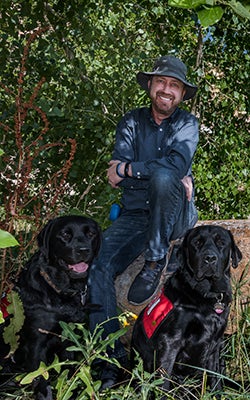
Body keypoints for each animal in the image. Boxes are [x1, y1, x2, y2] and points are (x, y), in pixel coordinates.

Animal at [0, 216, 101, 400]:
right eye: (65, 234)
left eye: (91, 233)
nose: (83, 250)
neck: (60, 289)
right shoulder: (36, 344)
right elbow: (41, 381)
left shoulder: (69, 339)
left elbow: (68, 371)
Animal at [131, 227, 242, 398]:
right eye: (197, 243)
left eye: (221, 242)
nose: (209, 258)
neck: (205, 294)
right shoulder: (170, 342)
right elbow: (163, 380)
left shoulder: (216, 344)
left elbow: (215, 379)